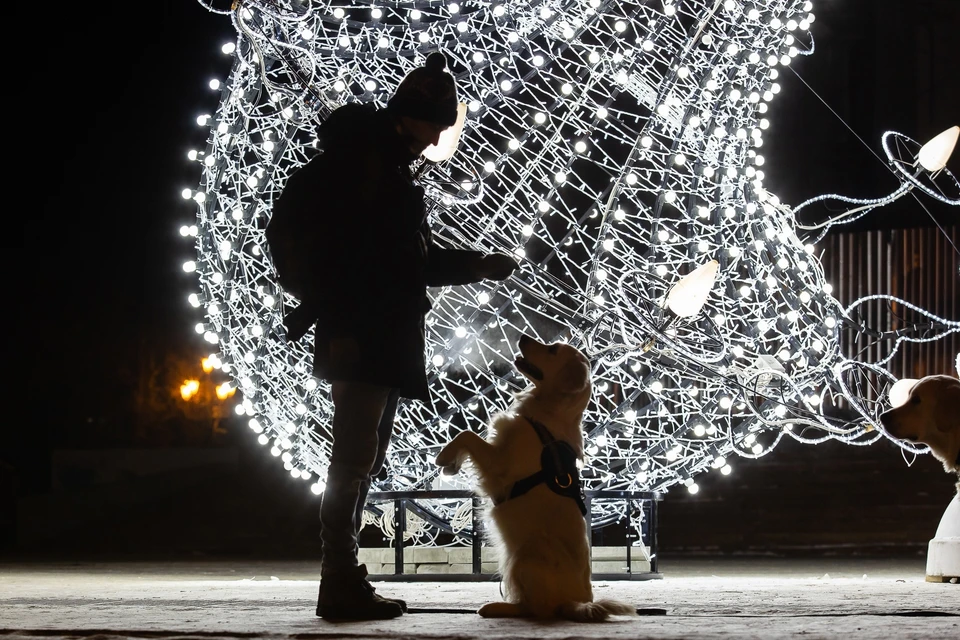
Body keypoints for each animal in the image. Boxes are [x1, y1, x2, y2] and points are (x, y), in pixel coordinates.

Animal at [436, 336, 636, 620]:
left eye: (552, 350)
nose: (522, 337)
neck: (544, 417)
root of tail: (578, 602)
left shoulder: (499, 466)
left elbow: (467, 435)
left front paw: (445, 457)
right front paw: (451, 462)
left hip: (525, 555)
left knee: (536, 609)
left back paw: (496, 608)